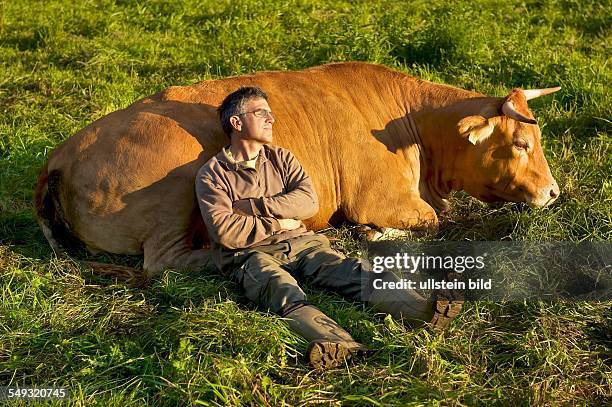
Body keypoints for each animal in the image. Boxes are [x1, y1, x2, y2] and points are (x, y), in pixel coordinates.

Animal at [33, 61, 560, 278]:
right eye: (520, 142)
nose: (553, 193)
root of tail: (63, 152)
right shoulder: (381, 199)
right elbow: (431, 221)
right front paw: (370, 233)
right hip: (178, 186)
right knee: (164, 261)